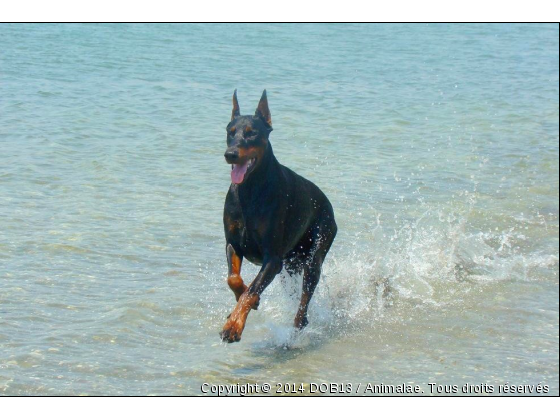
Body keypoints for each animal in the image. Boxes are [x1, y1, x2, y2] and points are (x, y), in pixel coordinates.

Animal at [220, 90, 336, 342]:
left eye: (252, 133)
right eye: (230, 132)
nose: (230, 154)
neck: (250, 190)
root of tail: (329, 205)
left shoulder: (272, 258)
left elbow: (252, 289)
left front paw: (233, 326)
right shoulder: (233, 243)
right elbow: (234, 280)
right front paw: (244, 304)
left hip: (315, 254)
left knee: (304, 302)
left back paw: (296, 331)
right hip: (289, 265)